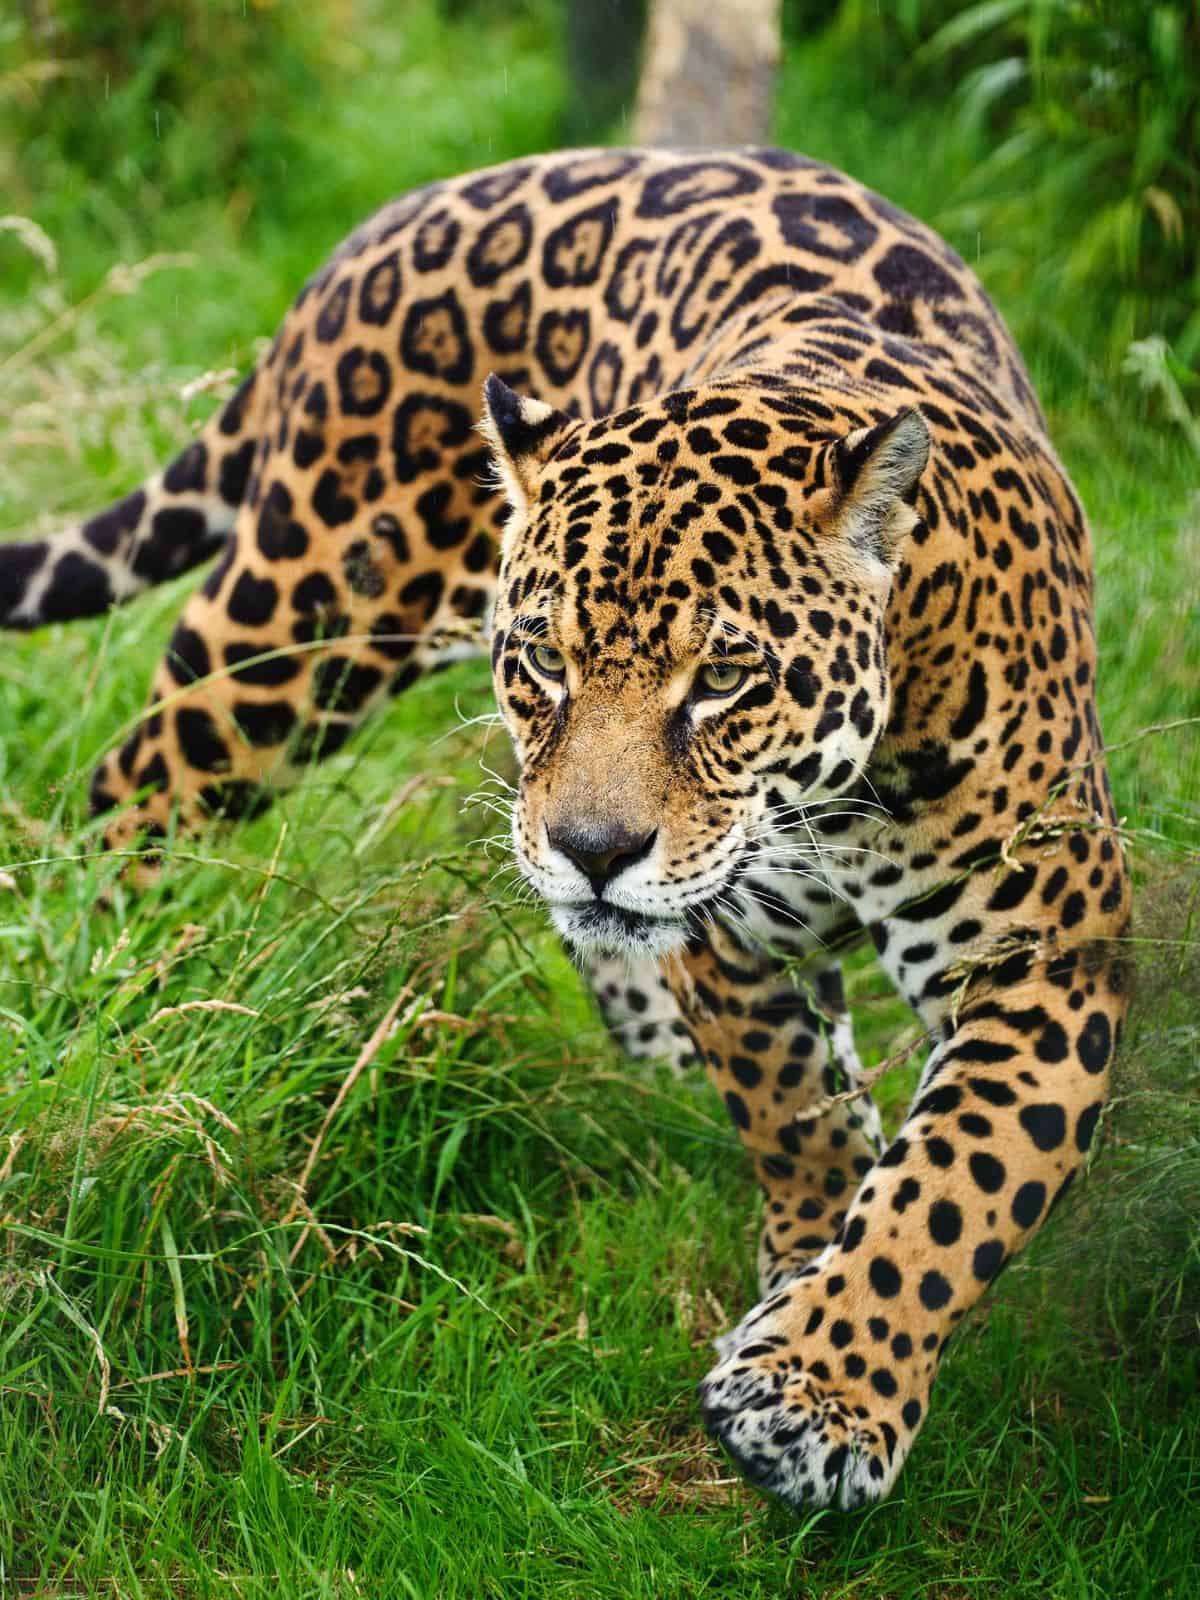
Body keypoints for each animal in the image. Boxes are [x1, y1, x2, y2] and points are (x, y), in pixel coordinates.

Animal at [0, 147, 1131, 1512]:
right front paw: (802, 1306)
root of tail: (393, 218)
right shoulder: (729, 936)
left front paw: (819, 1386)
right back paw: (113, 985)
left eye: (726, 678)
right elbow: (796, 1114)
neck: (836, 797)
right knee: (135, 782)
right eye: (542, 657)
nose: (599, 850)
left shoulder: (1045, 950)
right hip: (299, 627)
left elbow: (960, 1183)